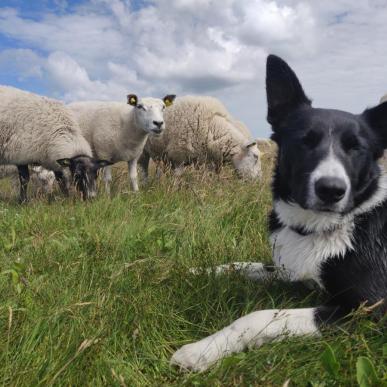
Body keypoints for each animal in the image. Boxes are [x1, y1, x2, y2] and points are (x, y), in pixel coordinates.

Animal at [173, 54, 387, 372]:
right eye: (305, 141)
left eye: (356, 148)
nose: (331, 190)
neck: (319, 226)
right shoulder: (288, 269)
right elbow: (241, 265)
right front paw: (200, 271)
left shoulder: (369, 307)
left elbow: (259, 317)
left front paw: (202, 350)